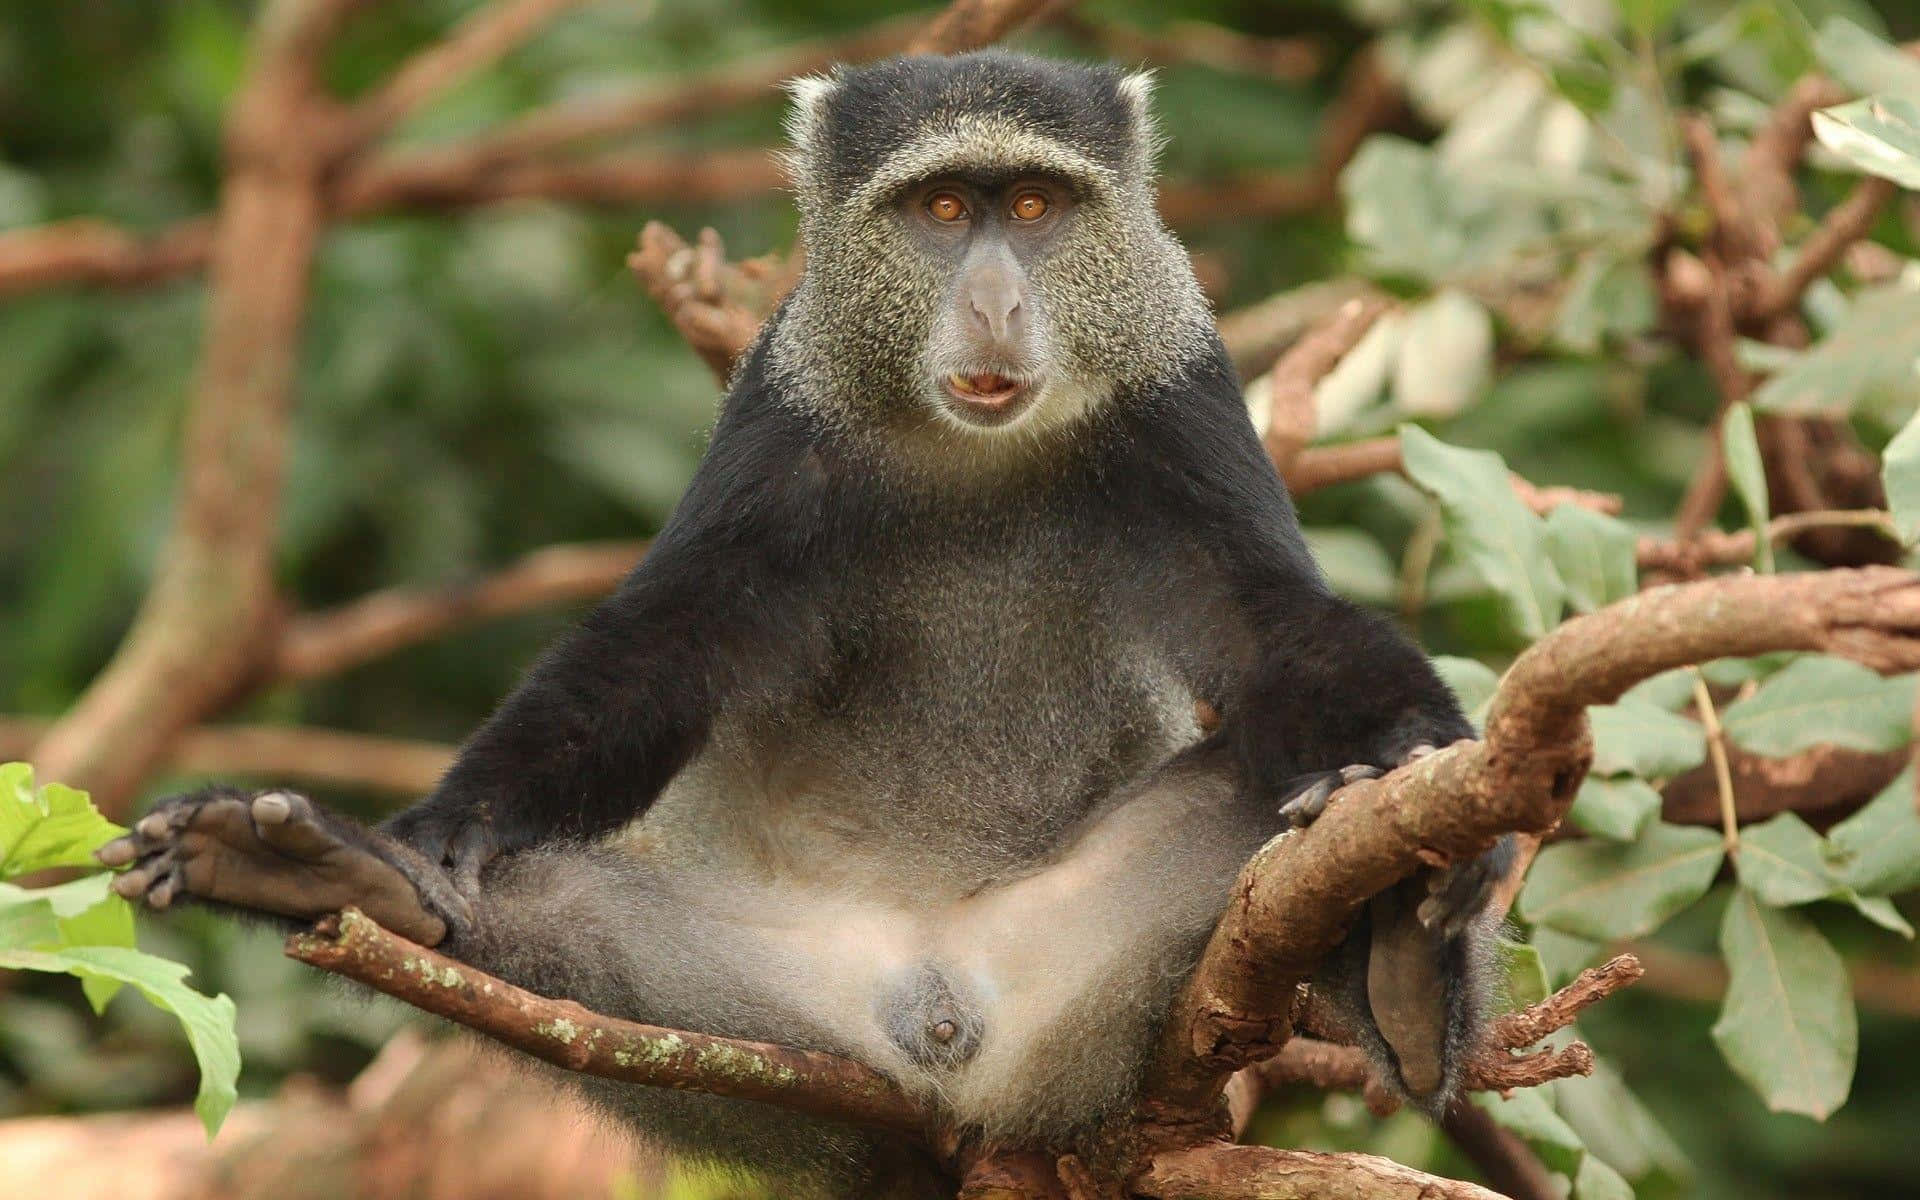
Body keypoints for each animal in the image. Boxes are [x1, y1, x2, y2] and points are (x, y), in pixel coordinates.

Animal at [100, 52, 1515, 1198]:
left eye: (1036, 208)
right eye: (942, 211)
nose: (997, 303)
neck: (971, 452)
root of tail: (948, 1023)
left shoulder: (1180, 393)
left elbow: (1271, 628)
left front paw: (1423, 767)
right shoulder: (783, 414)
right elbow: (664, 648)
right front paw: (442, 827)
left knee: (1273, 818)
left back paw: (1400, 946)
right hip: (768, 1028)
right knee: (548, 922)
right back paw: (337, 878)